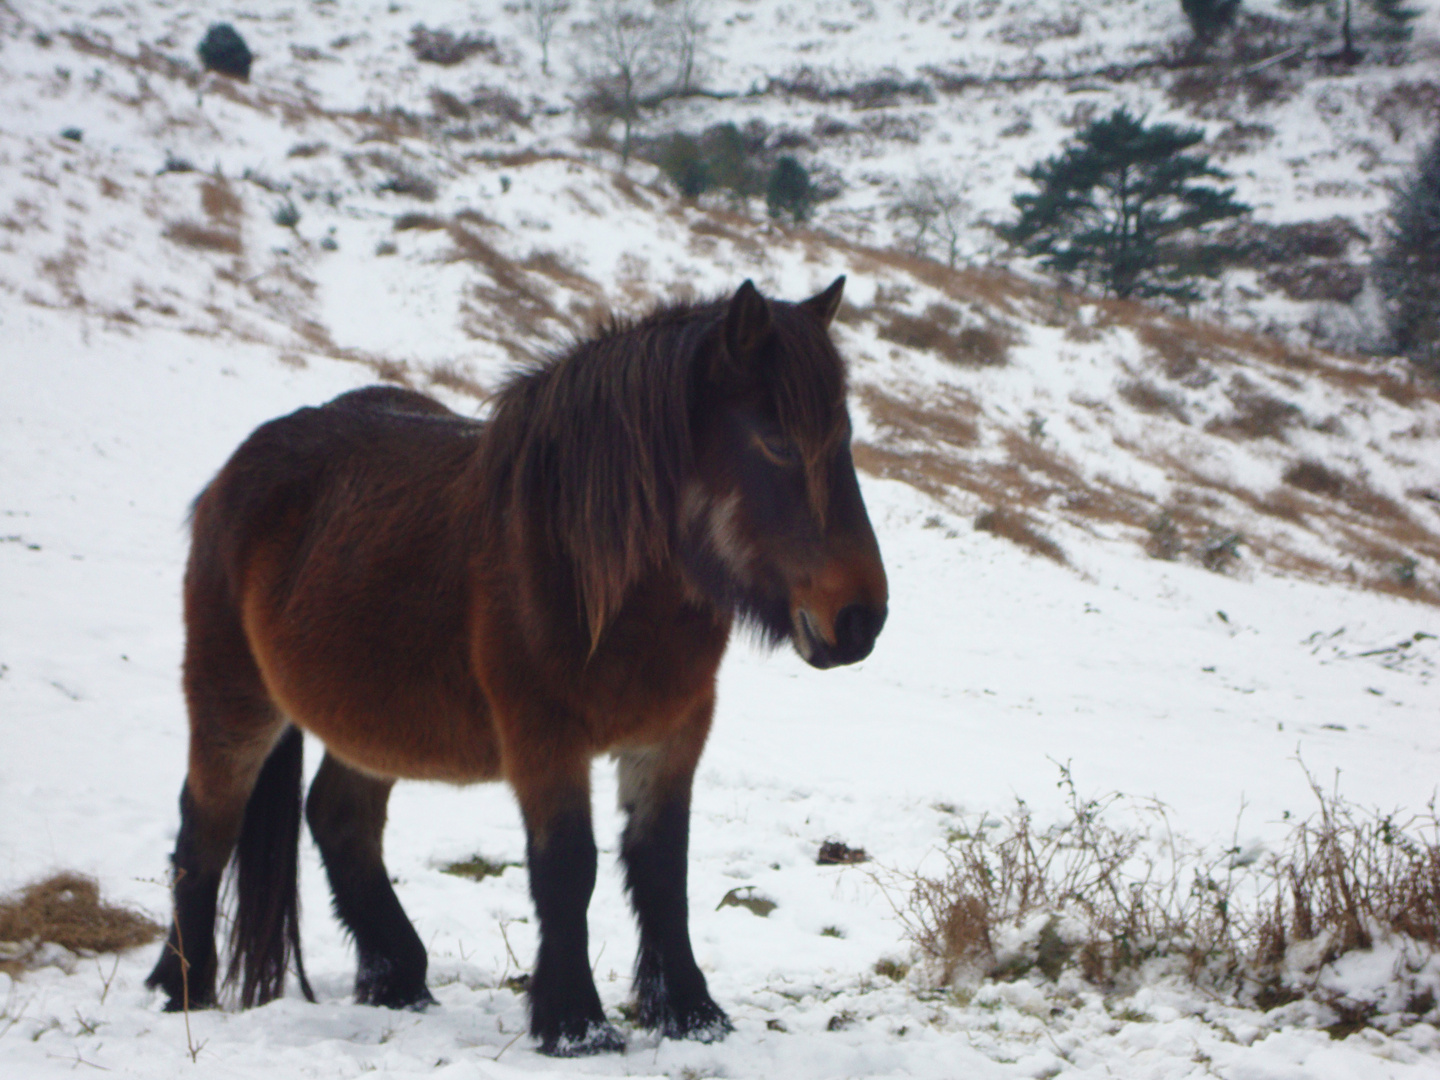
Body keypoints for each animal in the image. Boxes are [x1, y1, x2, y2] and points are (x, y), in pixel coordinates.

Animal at [149, 276, 887, 1059]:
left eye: (843, 437)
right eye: (776, 441)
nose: (860, 619)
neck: (584, 567)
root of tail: (236, 472)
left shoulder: (672, 734)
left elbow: (662, 869)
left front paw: (690, 1013)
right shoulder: (544, 737)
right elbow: (567, 868)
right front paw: (575, 1025)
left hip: (368, 721)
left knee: (339, 819)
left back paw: (397, 977)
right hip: (233, 695)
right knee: (206, 827)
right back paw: (182, 988)